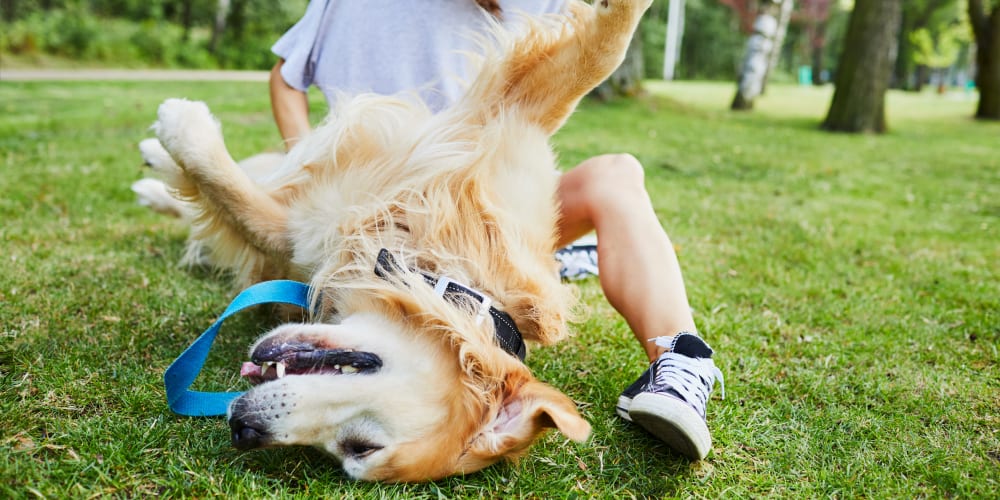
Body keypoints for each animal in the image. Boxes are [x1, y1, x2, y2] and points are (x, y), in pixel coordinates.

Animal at [141, 0, 652, 484]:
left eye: (357, 448)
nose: (242, 429)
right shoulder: (504, 123)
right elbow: (600, 56)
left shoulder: (295, 238)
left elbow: (241, 207)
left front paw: (182, 129)